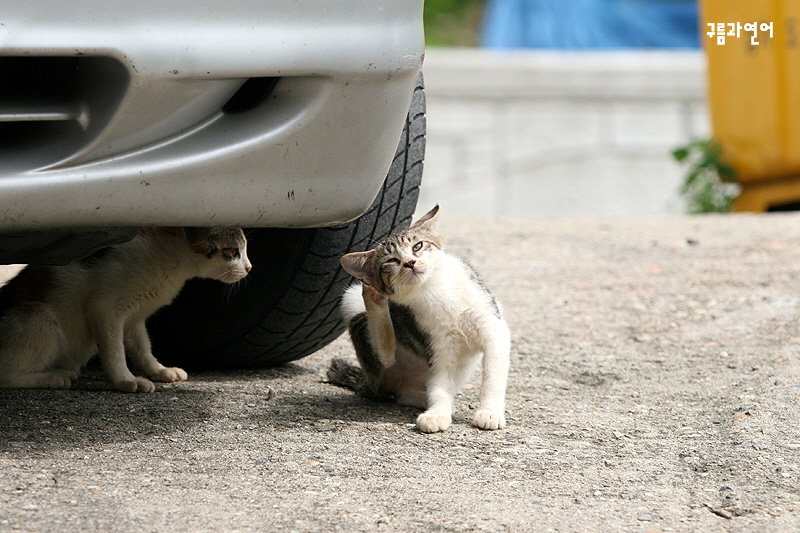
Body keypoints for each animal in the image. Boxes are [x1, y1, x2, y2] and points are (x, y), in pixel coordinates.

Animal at [0, 225, 250, 390]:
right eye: (233, 252)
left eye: (245, 250)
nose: (249, 267)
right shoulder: (104, 310)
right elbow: (114, 351)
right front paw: (126, 381)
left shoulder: (134, 318)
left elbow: (143, 348)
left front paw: (159, 370)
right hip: (41, 320)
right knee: (6, 375)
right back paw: (53, 377)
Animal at [326, 204, 510, 432]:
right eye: (392, 260)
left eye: (418, 246)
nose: (410, 262)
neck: (433, 290)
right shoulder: (438, 347)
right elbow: (440, 384)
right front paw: (437, 413)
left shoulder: (494, 328)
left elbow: (493, 375)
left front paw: (490, 412)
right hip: (356, 310)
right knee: (388, 361)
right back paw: (373, 297)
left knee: (404, 391)